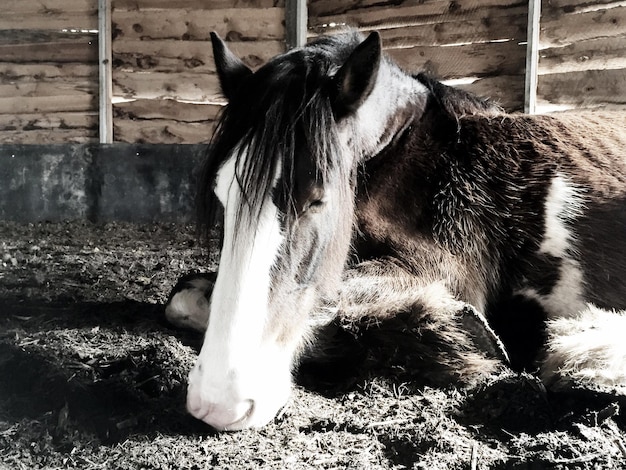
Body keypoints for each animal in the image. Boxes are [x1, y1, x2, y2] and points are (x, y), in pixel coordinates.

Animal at [165, 30, 624, 434]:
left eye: (318, 199)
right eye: (222, 194)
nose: (219, 402)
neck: (414, 158)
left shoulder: (444, 268)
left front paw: (458, 337)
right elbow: (182, 298)